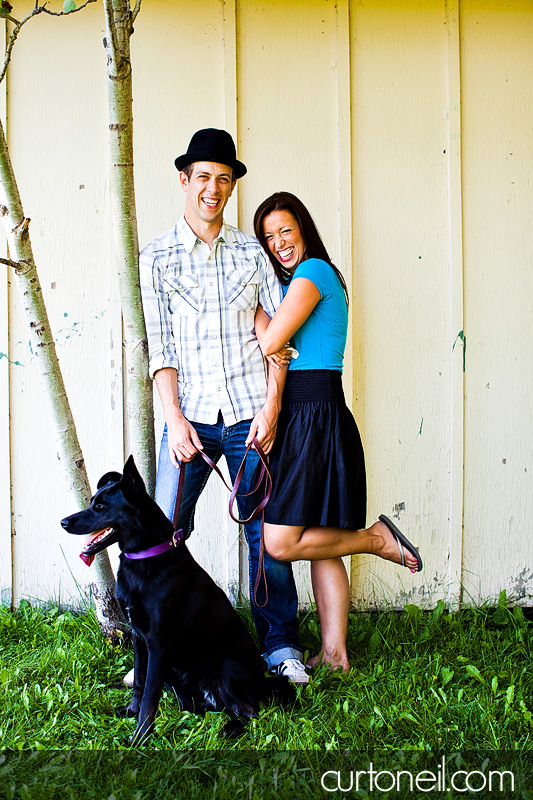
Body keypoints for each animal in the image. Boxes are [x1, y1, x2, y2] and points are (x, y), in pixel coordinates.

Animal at [63, 456, 296, 744]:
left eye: (100, 506)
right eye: (92, 501)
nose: (63, 522)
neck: (146, 557)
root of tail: (261, 682)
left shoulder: (158, 645)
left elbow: (150, 696)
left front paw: (139, 737)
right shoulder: (140, 639)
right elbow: (139, 684)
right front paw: (131, 712)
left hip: (226, 664)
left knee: (250, 710)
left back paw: (230, 729)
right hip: (176, 678)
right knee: (200, 707)